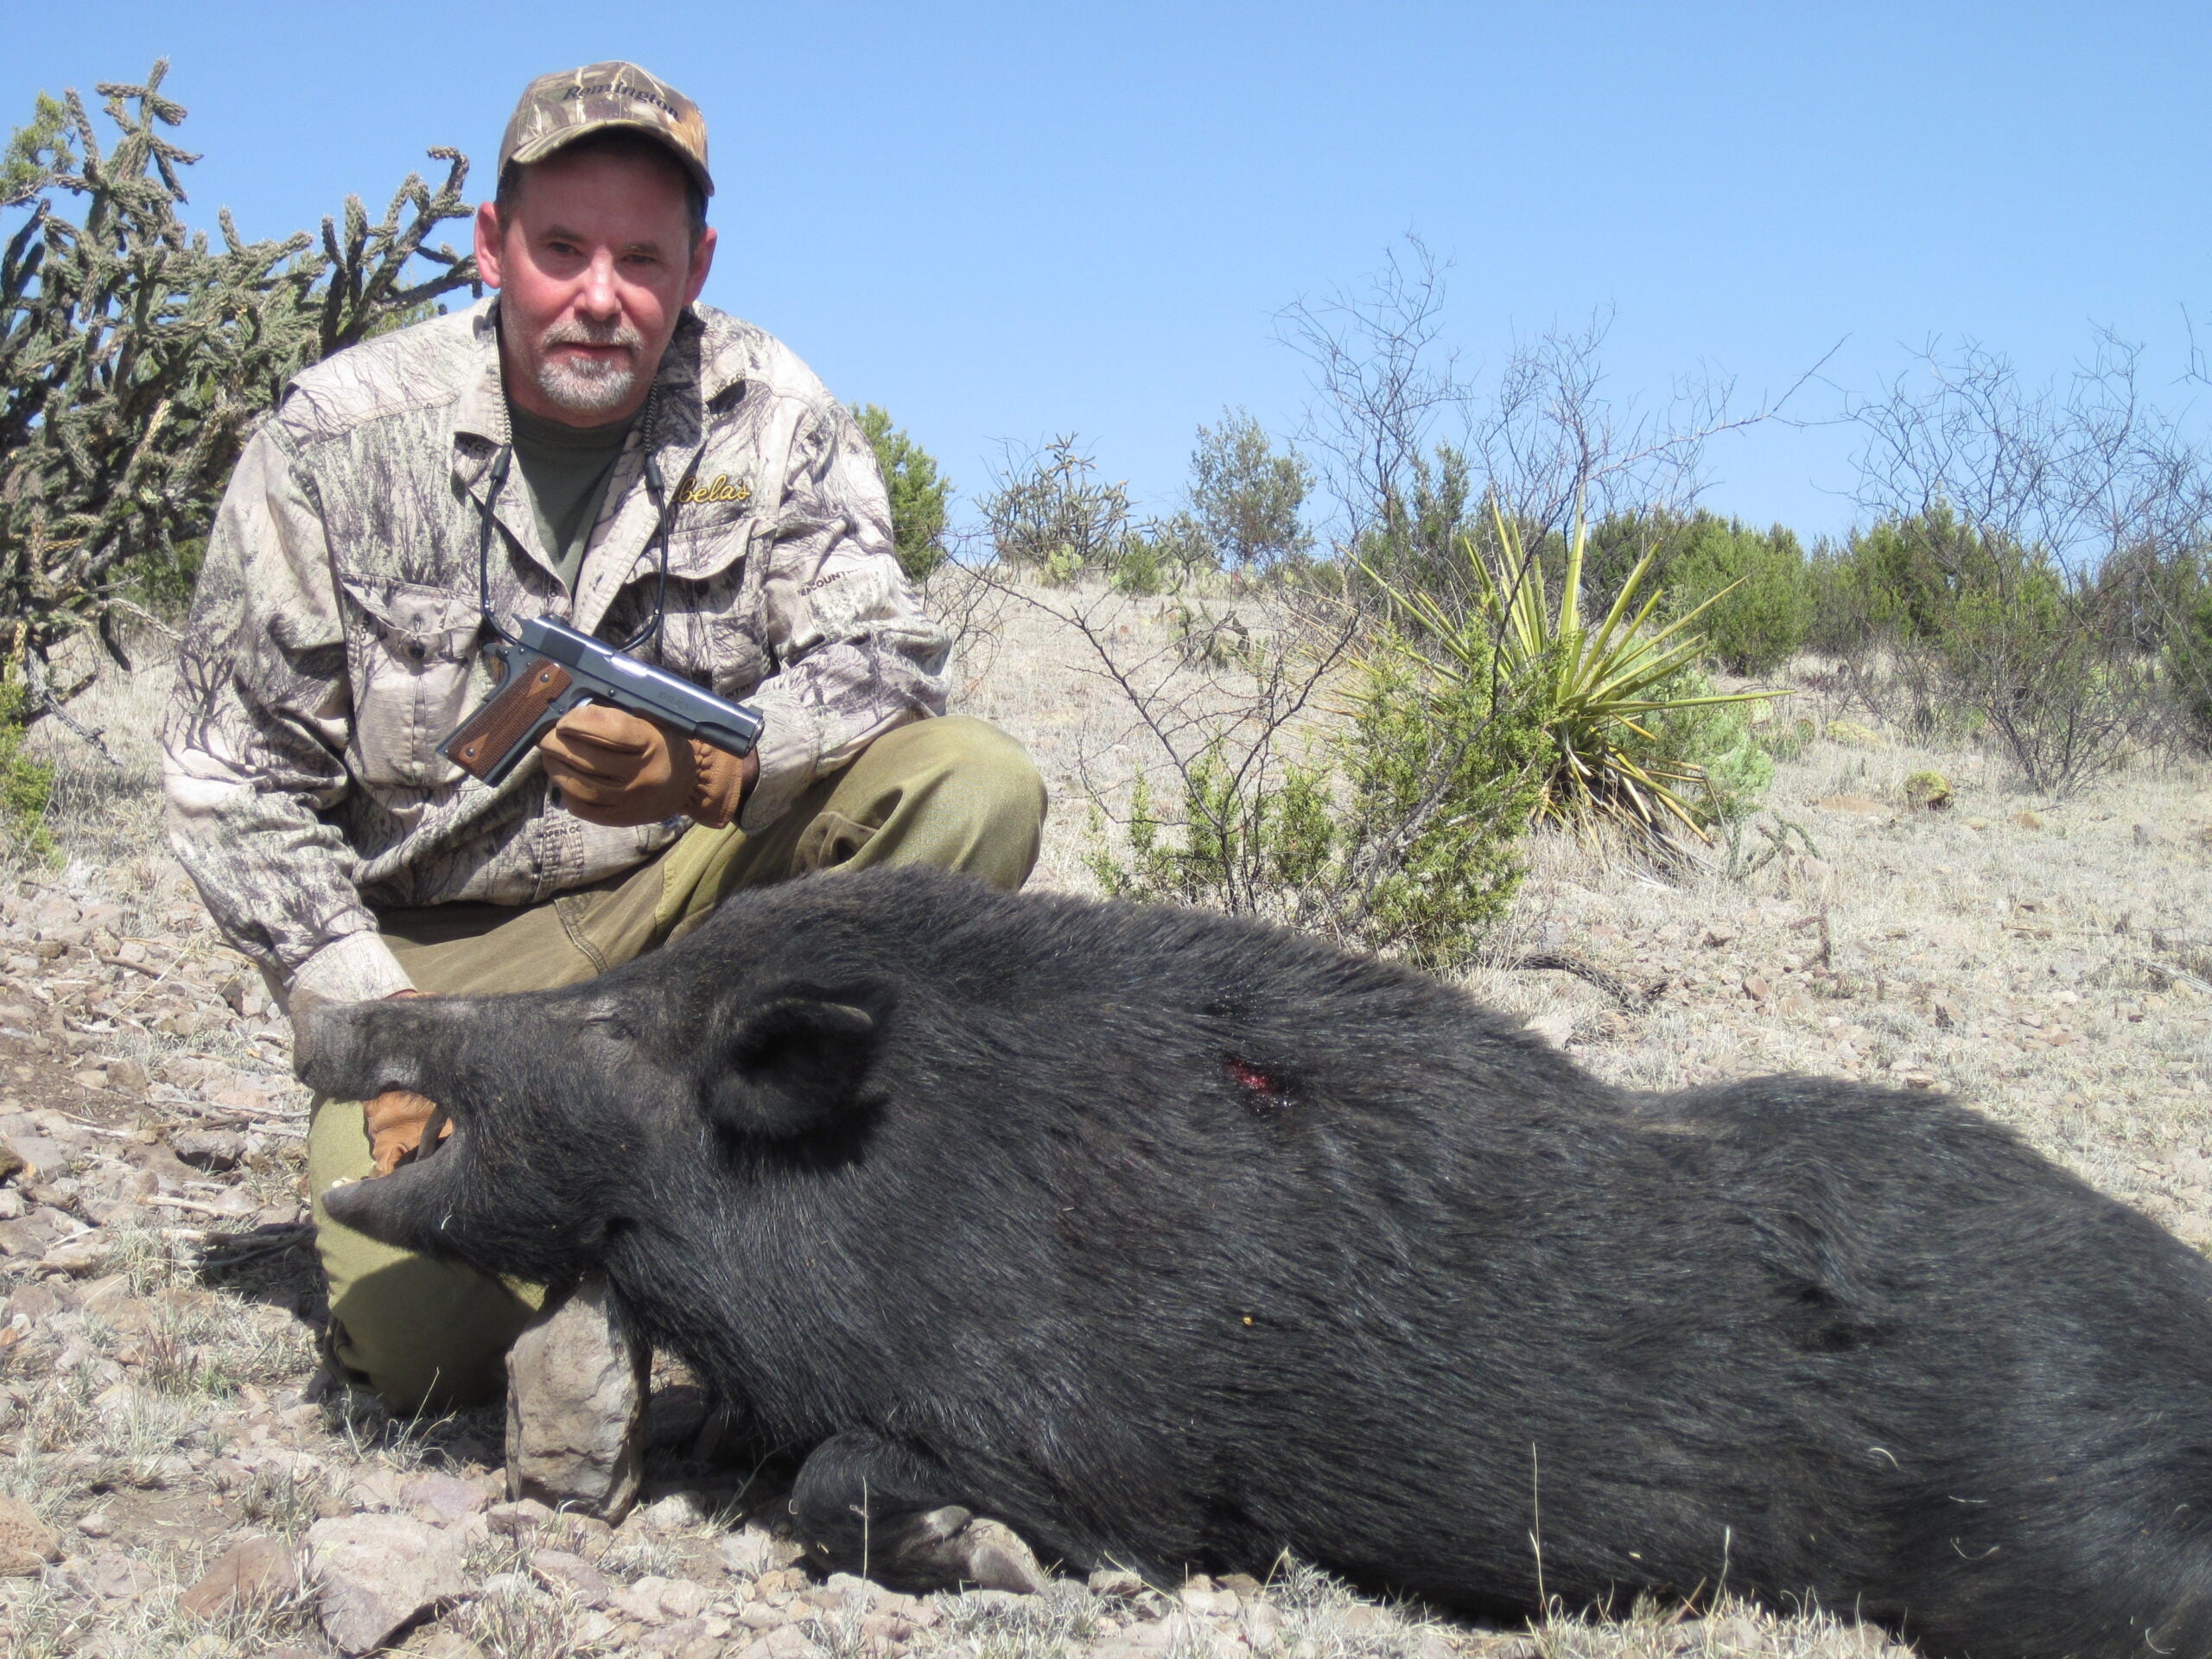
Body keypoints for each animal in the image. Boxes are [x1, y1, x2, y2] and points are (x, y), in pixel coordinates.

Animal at [297, 867, 2212, 1658]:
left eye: (617, 1022)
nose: (340, 1017)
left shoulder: (1095, 1441)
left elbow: (850, 1482)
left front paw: (993, 1567)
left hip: (2048, 1537)